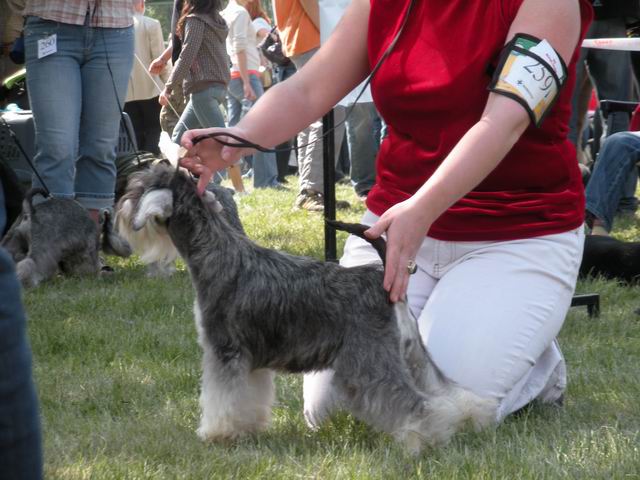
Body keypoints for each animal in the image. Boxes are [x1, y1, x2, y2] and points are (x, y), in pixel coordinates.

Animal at [0, 188, 131, 286]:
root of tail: (31, 212)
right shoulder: (87, 251)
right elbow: (88, 265)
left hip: (14, 240)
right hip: (41, 250)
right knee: (29, 264)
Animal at [114, 163, 496, 452]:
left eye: (137, 188)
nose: (120, 212)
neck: (215, 251)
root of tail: (382, 279)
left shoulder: (224, 351)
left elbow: (220, 397)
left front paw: (216, 433)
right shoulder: (250, 360)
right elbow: (247, 398)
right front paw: (247, 429)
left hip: (368, 365)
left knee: (414, 403)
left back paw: (424, 440)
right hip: (413, 355)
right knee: (446, 390)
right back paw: (472, 417)